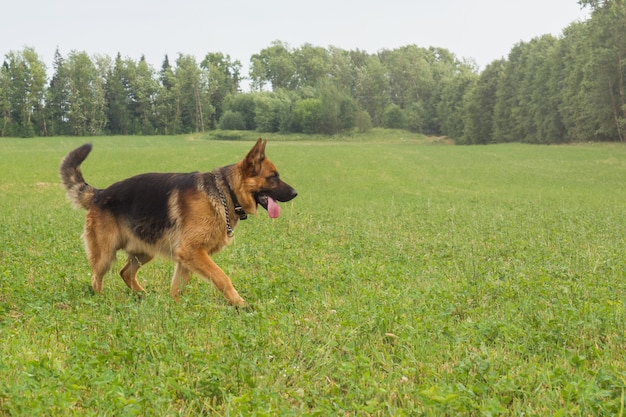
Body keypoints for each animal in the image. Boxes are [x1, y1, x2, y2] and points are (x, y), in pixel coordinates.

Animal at [60, 140, 298, 306]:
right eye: (273, 177)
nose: (295, 193)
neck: (225, 191)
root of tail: (99, 194)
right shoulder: (193, 252)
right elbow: (222, 278)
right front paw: (241, 304)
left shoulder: (186, 257)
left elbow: (177, 288)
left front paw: (177, 309)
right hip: (105, 255)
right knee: (96, 279)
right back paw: (100, 300)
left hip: (144, 251)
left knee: (125, 272)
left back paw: (142, 295)